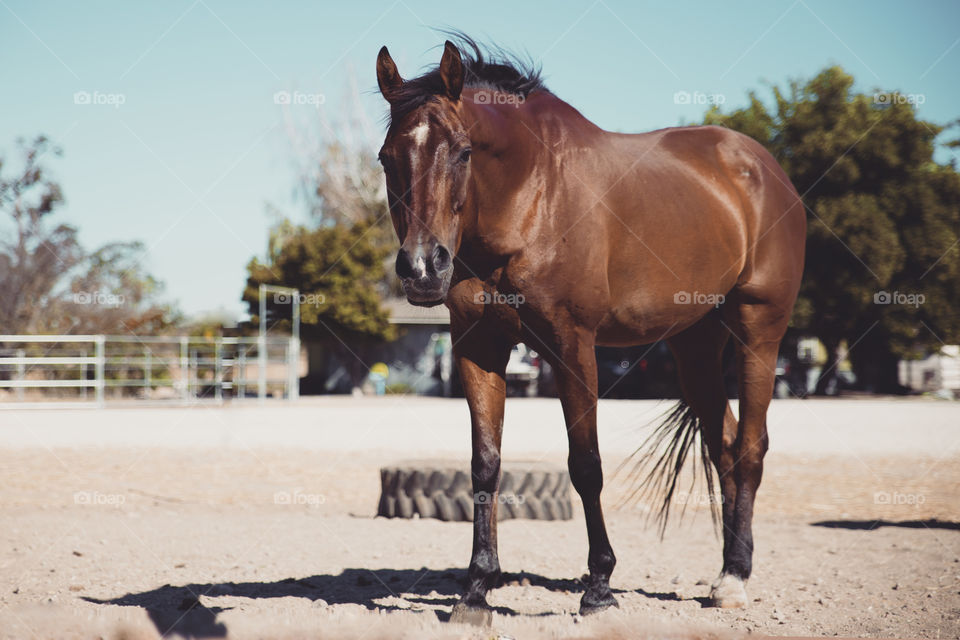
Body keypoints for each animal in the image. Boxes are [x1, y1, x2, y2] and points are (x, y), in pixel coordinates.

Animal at [376, 37, 804, 616]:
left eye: (464, 152)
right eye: (386, 158)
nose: (423, 269)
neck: (530, 198)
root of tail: (766, 169)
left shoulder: (571, 345)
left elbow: (586, 465)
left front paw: (599, 586)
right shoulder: (478, 346)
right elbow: (485, 464)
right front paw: (477, 588)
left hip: (758, 330)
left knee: (752, 447)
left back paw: (734, 578)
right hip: (695, 346)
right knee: (727, 448)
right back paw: (729, 568)